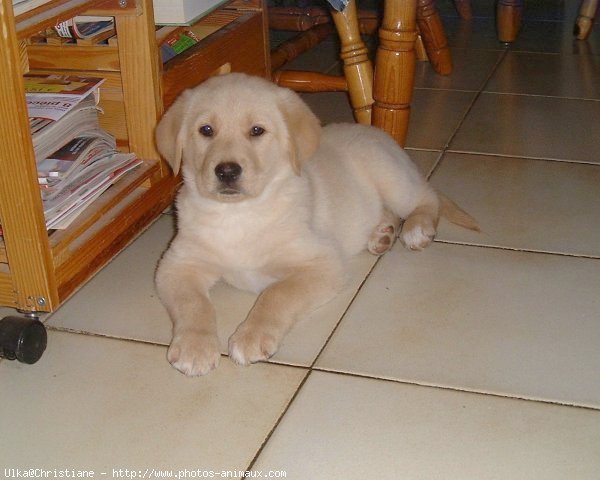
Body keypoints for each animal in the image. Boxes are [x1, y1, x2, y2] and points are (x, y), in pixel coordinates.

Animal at [155, 73, 478, 376]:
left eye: (257, 131)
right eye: (206, 130)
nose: (226, 171)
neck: (239, 214)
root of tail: (375, 130)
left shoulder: (322, 263)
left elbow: (276, 294)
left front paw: (252, 336)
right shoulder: (177, 264)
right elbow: (193, 304)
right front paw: (194, 347)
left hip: (392, 178)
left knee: (426, 197)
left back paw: (416, 229)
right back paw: (382, 235)